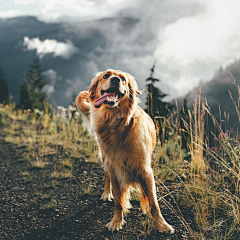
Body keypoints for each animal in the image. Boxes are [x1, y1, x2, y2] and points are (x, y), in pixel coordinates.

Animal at [76, 68, 173, 233]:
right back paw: (106, 193)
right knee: (106, 176)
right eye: (106, 76)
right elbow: (118, 202)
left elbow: (154, 203)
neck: (118, 124)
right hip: (105, 159)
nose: (115, 80)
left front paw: (162, 225)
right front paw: (116, 221)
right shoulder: (114, 168)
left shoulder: (145, 170)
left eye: (123, 78)